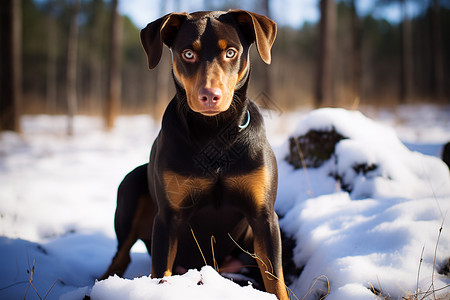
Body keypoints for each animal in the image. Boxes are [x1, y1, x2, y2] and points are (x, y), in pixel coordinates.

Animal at [101, 9, 288, 300]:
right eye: (188, 53)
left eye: (231, 52)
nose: (210, 95)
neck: (214, 133)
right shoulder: (168, 218)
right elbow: (160, 273)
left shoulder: (264, 217)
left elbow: (275, 280)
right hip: (131, 186)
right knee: (120, 257)